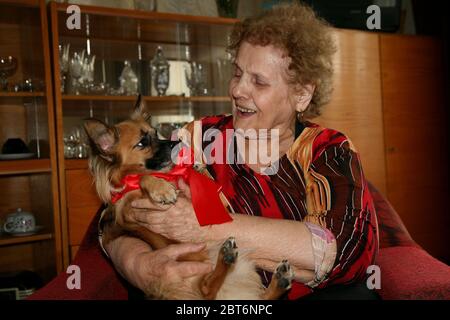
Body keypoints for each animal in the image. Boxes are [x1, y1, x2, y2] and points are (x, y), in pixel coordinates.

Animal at [84, 96, 296, 298]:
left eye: (155, 133)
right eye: (142, 143)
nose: (175, 143)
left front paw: (197, 167)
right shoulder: (126, 210)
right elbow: (143, 178)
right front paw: (162, 189)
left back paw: (278, 279)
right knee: (206, 290)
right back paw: (228, 258)